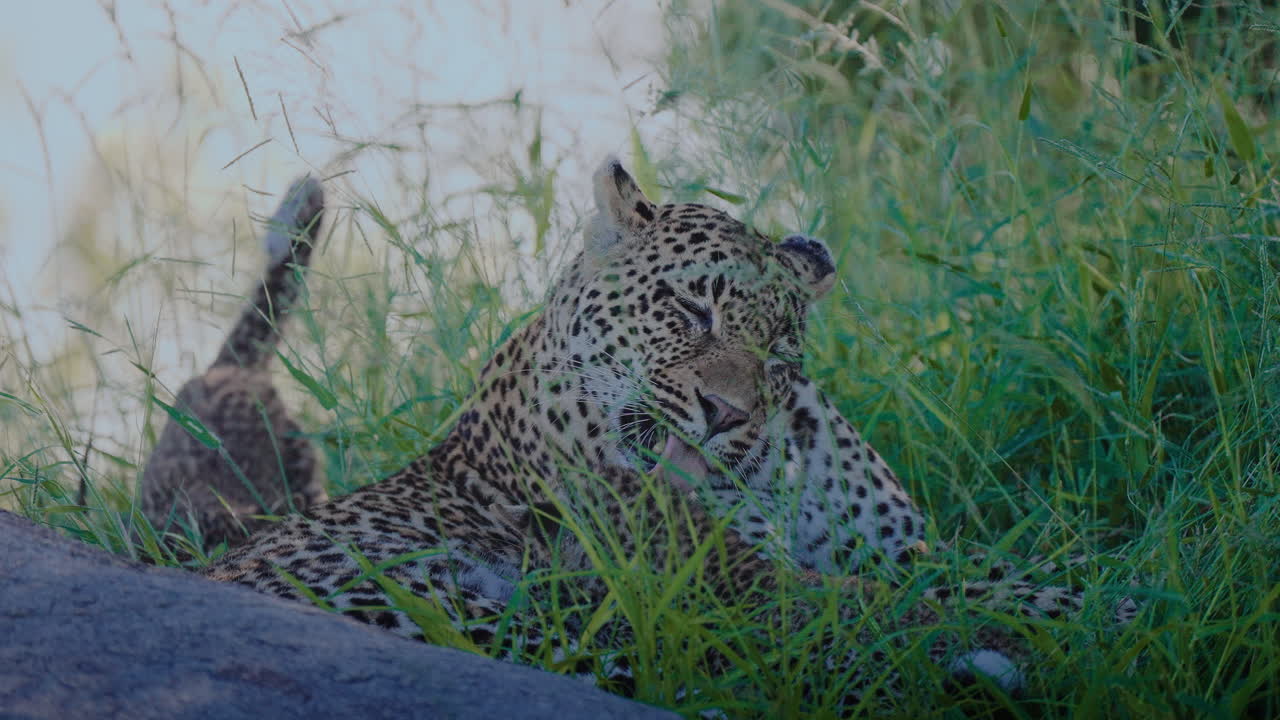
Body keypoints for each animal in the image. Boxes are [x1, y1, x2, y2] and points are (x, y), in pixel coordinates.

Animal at [203, 159, 1134, 707]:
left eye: (779, 348)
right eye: (690, 308)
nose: (726, 413)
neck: (775, 464)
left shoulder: (908, 548)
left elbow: (1021, 577)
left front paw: (1135, 593)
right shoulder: (736, 578)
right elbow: (914, 604)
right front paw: (1095, 627)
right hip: (454, 605)